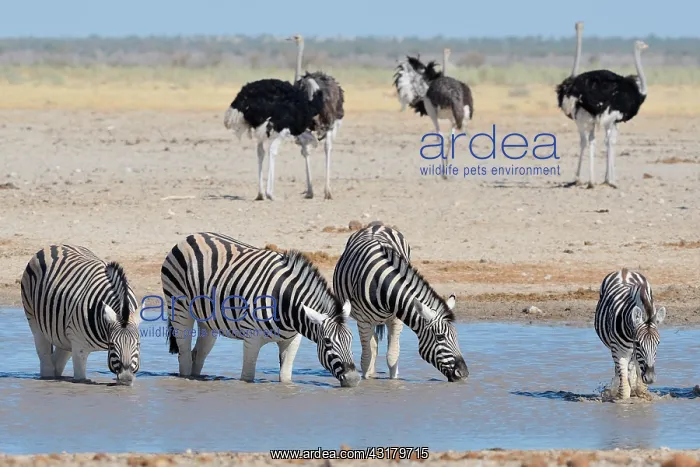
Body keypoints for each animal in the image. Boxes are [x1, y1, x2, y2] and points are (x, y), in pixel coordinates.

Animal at [20, 245, 142, 385]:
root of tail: (57, 246)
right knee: (45, 357)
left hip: (64, 333)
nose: (126, 379)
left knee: (58, 361)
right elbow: (80, 378)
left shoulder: (73, 338)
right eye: (112, 344)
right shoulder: (79, 347)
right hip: (35, 320)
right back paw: (47, 377)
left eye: (138, 344)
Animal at [160, 232, 361, 387]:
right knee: (185, 356)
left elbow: (285, 378)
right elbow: (247, 378)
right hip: (179, 309)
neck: (286, 305)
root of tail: (190, 236)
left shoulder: (292, 340)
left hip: (208, 321)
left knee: (198, 355)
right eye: (327, 342)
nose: (353, 379)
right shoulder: (252, 339)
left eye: (351, 340)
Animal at [332, 223, 468, 382]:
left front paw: (394, 382)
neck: (382, 285)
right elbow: (366, 357)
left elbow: (392, 356)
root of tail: (376, 226)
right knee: (372, 345)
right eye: (440, 337)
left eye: (456, 336)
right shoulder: (363, 321)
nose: (464, 374)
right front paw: (367, 380)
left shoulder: (396, 320)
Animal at [594, 268, 666, 400]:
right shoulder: (619, 352)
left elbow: (640, 387)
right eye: (638, 343)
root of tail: (624, 270)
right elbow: (624, 389)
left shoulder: (637, 357)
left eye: (658, 343)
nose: (650, 378)